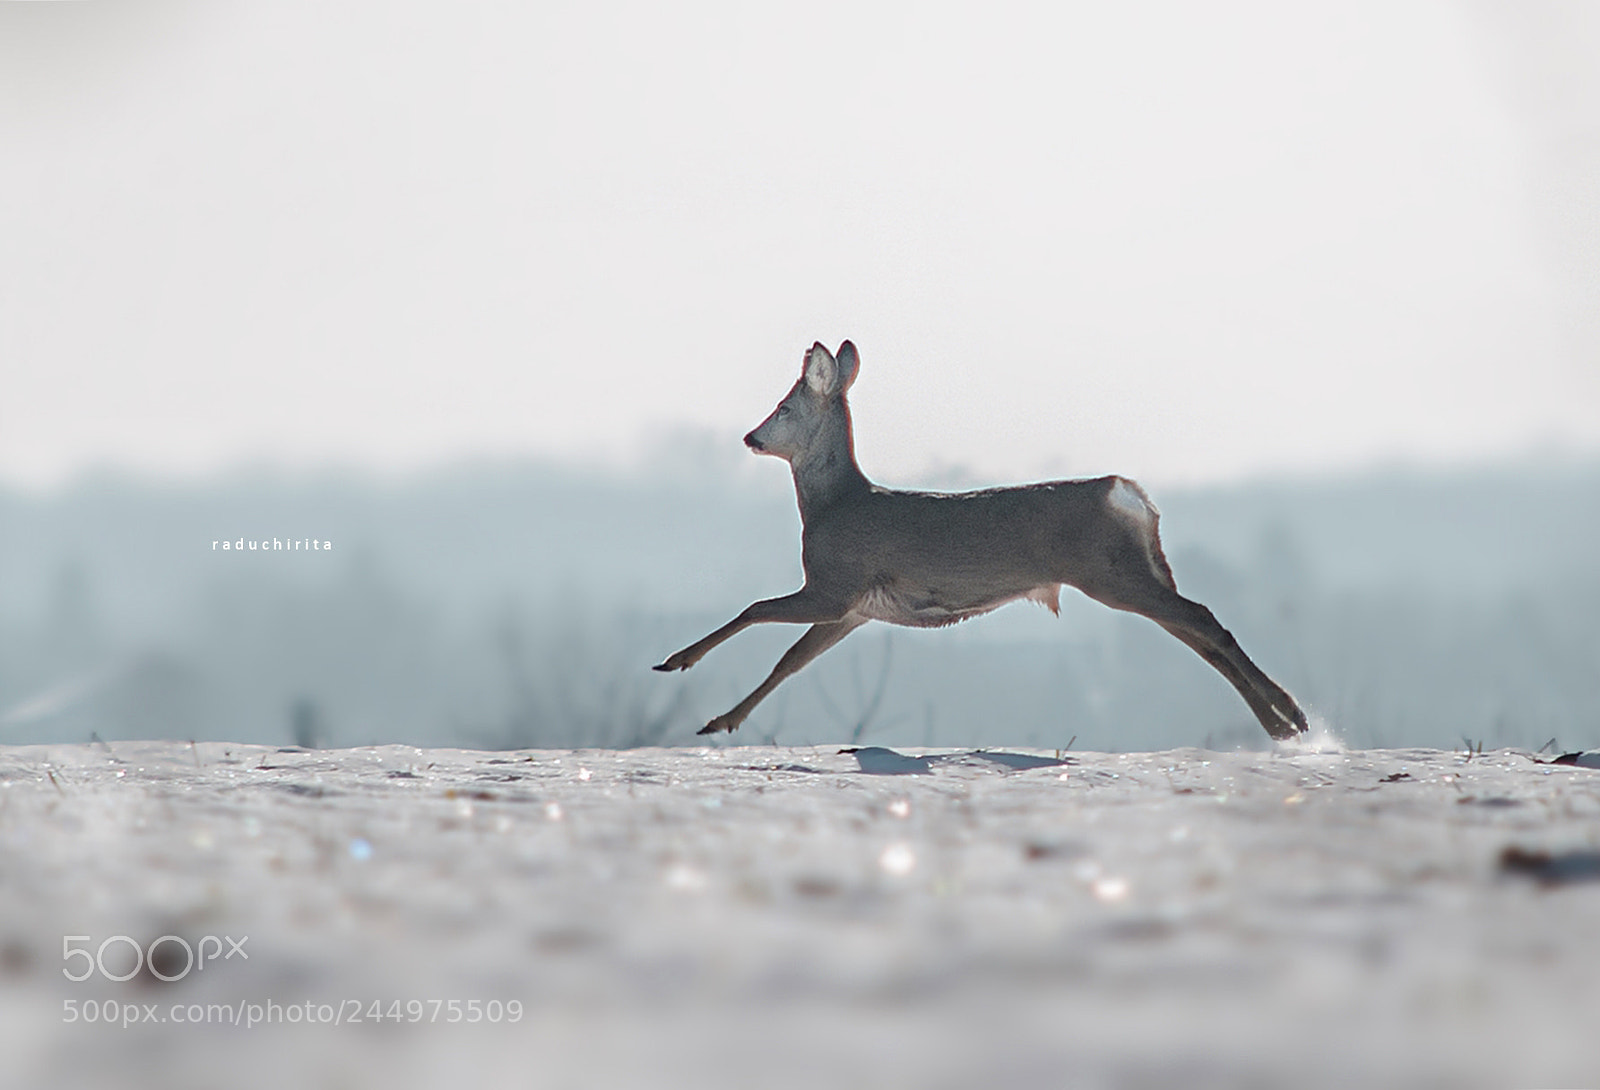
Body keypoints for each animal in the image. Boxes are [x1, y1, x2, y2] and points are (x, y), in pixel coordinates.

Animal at [654, 341, 1309, 742]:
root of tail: (1130, 495)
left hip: (1111, 573)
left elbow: (754, 609)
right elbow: (790, 662)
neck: (833, 506)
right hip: (1139, 569)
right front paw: (721, 720)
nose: (751, 438)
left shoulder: (834, 584)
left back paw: (1290, 719)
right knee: (1197, 630)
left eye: (785, 407)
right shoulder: (855, 609)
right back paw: (1286, 722)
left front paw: (677, 662)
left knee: (1202, 620)